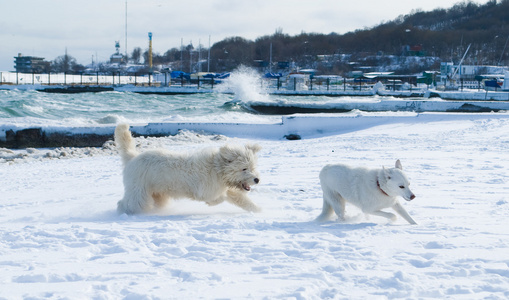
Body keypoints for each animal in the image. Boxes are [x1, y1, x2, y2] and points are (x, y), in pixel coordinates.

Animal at [113, 123, 260, 214]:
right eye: (244, 169)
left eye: (252, 167)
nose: (257, 179)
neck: (217, 168)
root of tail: (133, 157)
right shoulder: (206, 190)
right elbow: (219, 198)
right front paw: (211, 203)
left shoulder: (224, 188)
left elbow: (241, 199)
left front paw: (258, 210)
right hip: (138, 191)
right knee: (127, 203)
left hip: (157, 192)